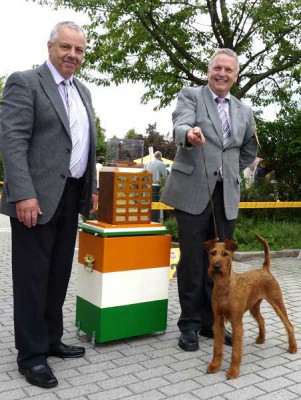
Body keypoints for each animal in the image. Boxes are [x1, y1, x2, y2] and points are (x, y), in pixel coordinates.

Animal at [203, 233, 296, 380]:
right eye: (212, 253)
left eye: (225, 254)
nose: (216, 266)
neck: (224, 287)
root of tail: (265, 269)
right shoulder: (218, 320)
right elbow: (217, 347)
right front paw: (214, 366)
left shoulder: (236, 322)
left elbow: (235, 351)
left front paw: (233, 371)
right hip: (254, 307)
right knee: (262, 320)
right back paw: (261, 339)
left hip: (277, 303)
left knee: (289, 325)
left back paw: (293, 348)